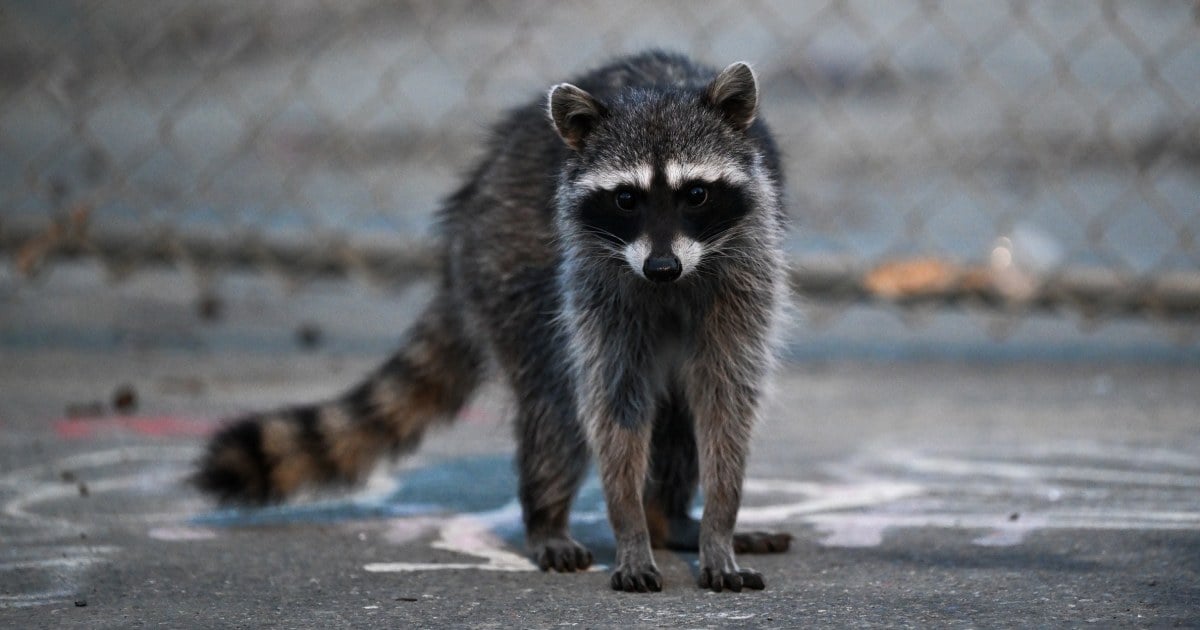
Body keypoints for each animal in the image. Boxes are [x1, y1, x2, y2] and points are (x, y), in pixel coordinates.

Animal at [198, 50, 792, 590]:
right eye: (627, 198)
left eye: (697, 194)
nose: (662, 267)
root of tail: (471, 201)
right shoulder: (594, 282)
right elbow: (612, 404)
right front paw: (629, 529)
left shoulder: (748, 270)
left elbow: (724, 401)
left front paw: (718, 525)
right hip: (511, 262)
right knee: (555, 403)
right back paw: (551, 518)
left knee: (673, 413)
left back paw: (669, 519)